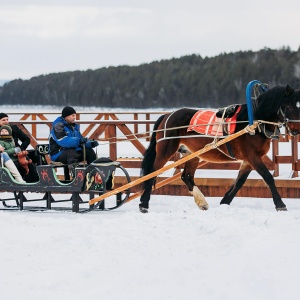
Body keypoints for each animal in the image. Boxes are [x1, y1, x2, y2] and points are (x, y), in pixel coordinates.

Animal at [138, 84, 300, 213]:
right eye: (290, 106)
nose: (296, 130)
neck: (253, 123)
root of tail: (167, 115)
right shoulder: (252, 157)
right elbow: (268, 177)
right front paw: (280, 204)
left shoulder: (248, 160)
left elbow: (239, 182)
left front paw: (224, 202)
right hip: (165, 151)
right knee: (152, 173)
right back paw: (144, 204)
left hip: (193, 154)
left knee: (186, 176)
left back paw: (202, 202)